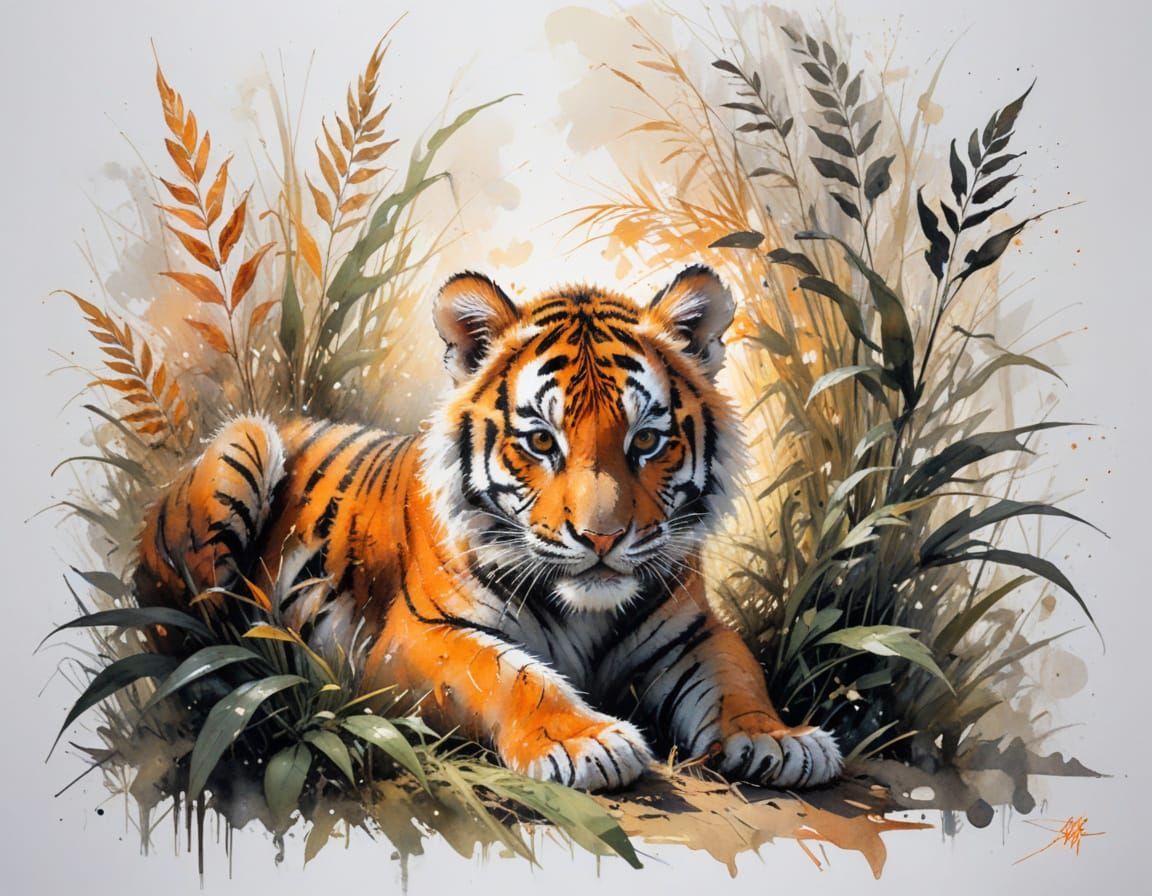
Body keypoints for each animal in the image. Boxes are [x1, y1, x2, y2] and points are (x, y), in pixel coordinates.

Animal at [134, 265, 842, 792]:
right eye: (541, 441)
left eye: (645, 440)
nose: (603, 538)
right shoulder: (417, 637)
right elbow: (512, 674)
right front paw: (585, 742)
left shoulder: (693, 633)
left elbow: (737, 677)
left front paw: (781, 740)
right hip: (243, 446)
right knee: (190, 629)